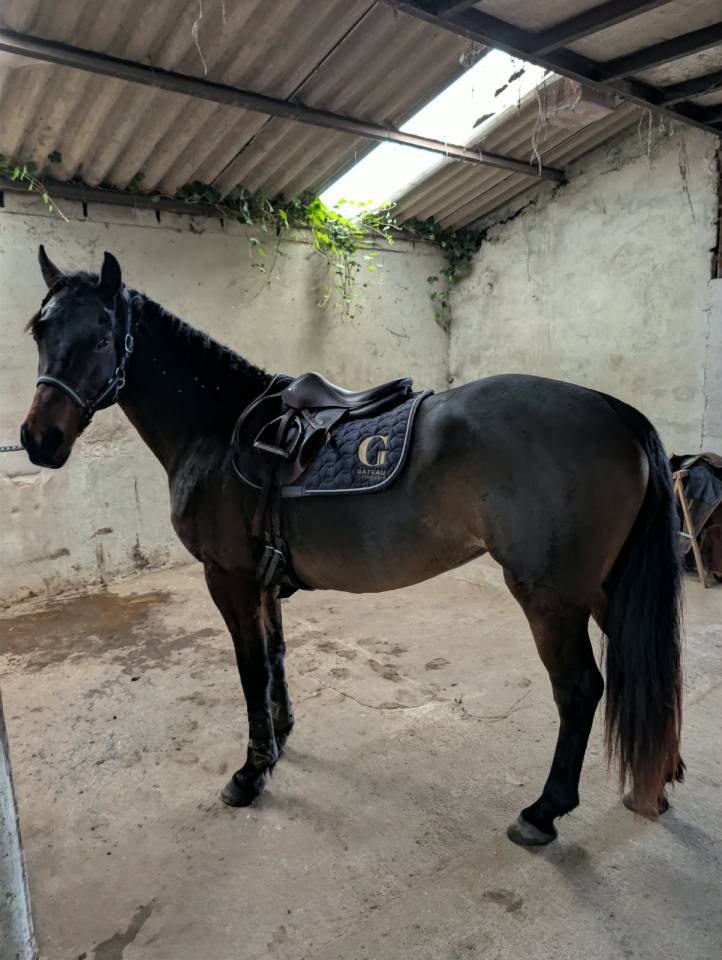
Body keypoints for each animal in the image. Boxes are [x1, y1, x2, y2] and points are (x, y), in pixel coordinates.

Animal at [19, 247, 684, 847]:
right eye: (40, 329)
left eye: (104, 337)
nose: (39, 440)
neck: (217, 428)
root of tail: (616, 412)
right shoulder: (263, 579)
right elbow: (275, 657)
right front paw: (280, 738)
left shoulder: (228, 577)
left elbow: (249, 667)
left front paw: (250, 773)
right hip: (603, 588)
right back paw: (656, 780)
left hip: (550, 596)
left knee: (579, 690)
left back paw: (544, 811)